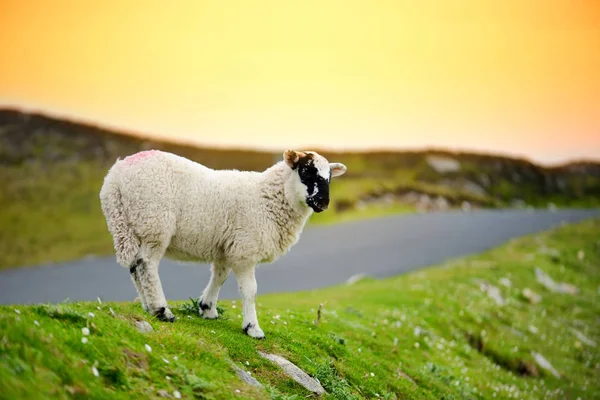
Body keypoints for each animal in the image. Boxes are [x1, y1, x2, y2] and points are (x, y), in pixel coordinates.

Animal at [99, 149, 346, 338]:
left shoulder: (228, 247)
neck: (267, 197)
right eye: (306, 171)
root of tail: (116, 176)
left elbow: (219, 276)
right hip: (153, 222)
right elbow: (250, 290)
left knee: (135, 266)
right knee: (146, 264)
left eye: (330, 177)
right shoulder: (246, 249)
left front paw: (207, 308)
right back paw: (162, 310)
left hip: (128, 226)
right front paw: (252, 328)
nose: (323, 202)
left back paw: (147, 306)